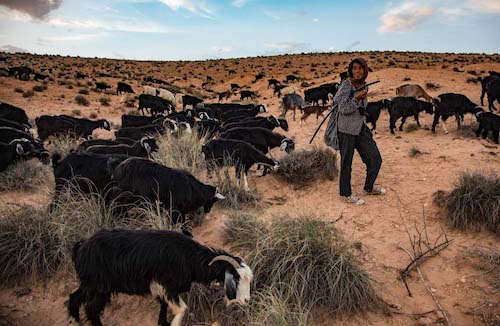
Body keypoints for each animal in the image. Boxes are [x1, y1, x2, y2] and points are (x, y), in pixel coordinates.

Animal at [68, 228, 252, 326]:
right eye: (236, 278)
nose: (246, 301)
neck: (187, 257)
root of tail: (81, 247)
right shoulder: (167, 285)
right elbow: (182, 309)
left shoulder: (160, 287)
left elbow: (163, 305)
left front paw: (162, 322)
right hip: (100, 287)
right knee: (91, 308)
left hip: (89, 283)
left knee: (74, 297)